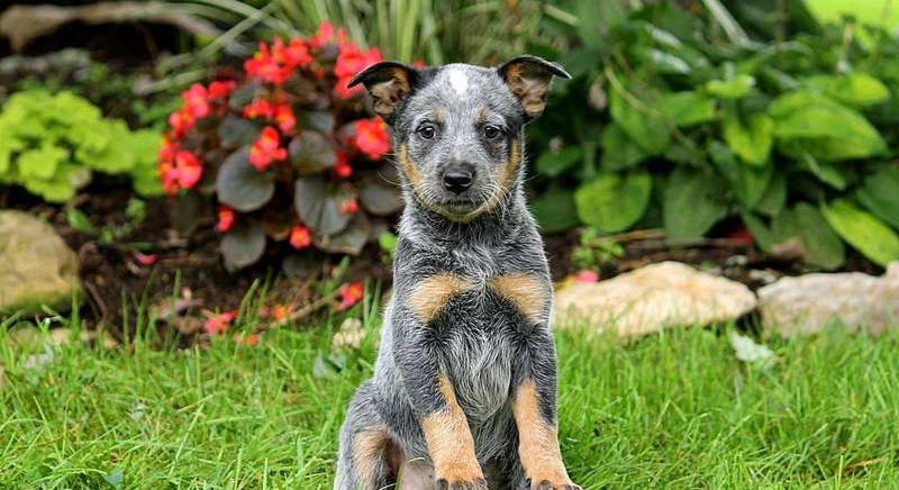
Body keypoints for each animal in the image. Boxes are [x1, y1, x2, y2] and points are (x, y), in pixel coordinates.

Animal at [336, 54, 576, 490]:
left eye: (492, 130)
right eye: (427, 130)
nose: (458, 178)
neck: (472, 247)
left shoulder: (533, 336)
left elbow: (540, 419)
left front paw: (551, 476)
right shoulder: (417, 337)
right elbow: (445, 413)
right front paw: (461, 473)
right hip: (363, 426)